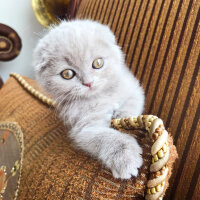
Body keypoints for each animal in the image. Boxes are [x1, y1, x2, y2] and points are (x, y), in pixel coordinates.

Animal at [33, 19, 145, 180]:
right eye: (67, 74)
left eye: (98, 63)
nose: (88, 83)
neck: (101, 95)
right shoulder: (84, 126)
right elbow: (105, 137)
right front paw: (125, 159)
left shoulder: (133, 87)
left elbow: (133, 100)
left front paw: (123, 114)